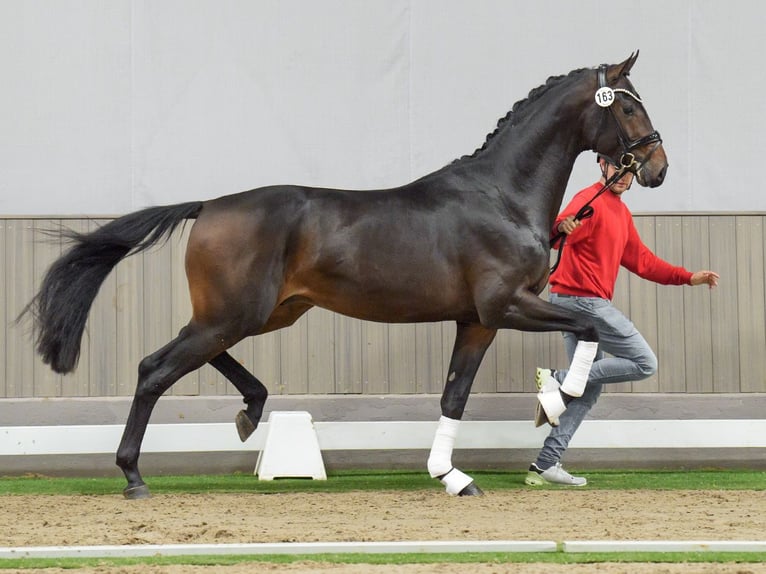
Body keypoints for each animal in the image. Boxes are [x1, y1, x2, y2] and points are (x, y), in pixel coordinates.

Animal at [27, 55, 668, 504]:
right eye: (628, 108)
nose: (657, 168)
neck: (502, 197)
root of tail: (208, 206)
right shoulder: (506, 305)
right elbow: (589, 329)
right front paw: (555, 401)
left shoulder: (476, 321)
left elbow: (455, 395)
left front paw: (452, 476)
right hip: (235, 313)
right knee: (154, 369)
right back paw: (135, 476)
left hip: (260, 313)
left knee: (187, 357)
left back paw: (249, 412)